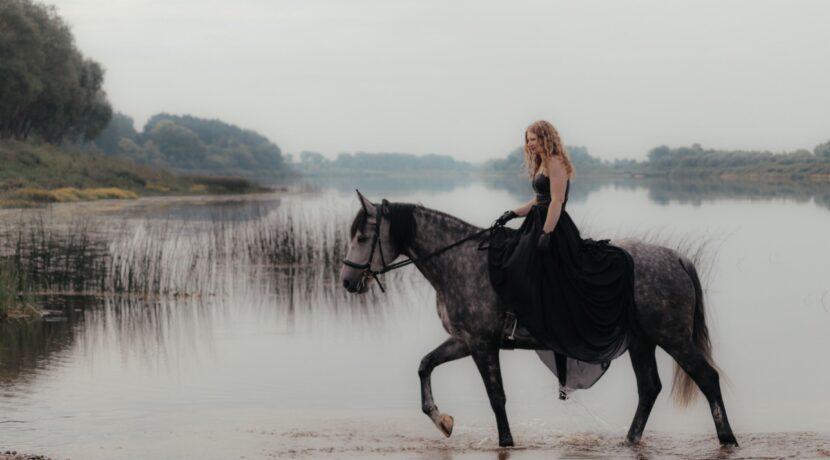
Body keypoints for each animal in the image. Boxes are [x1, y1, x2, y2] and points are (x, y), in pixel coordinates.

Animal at [340, 190, 740, 450]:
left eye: (363, 235)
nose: (346, 281)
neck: (461, 261)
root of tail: (676, 258)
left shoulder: (482, 345)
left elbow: (496, 397)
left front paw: (506, 442)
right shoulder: (465, 340)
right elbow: (425, 365)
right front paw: (442, 421)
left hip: (673, 338)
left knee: (706, 378)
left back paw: (728, 439)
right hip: (643, 341)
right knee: (649, 389)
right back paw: (630, 441)